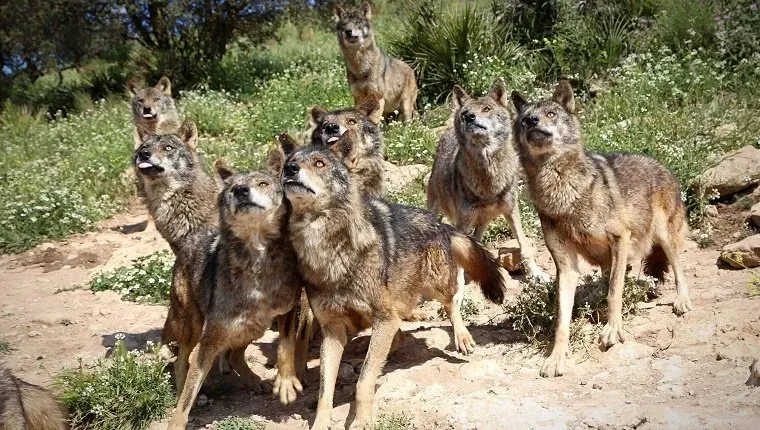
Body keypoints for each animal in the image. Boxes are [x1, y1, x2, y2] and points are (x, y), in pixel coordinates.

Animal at [167, 161, 304, 429]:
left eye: (263, 183)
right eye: (232, 188)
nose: (241, 190)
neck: (257, 264)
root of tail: (192, 239)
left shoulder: (288, 309)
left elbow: (286, 345)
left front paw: (285, 382)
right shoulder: (208, 342)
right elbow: (189, 392)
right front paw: (177, 420)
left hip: (253, 326)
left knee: (234, 355)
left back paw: (255, 381)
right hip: (194, 326)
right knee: (181, 361)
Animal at [279, 130, 507, 430]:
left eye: (319, 163)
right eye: (290, 162)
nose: (290, 169)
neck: (328, 251)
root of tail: (439, 222)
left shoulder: (383, 318)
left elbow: (363, 382)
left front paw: (362, 421)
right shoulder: (333, 330)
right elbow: (324, 391)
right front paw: (320, 423)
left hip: (434, 285)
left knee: (451, 302)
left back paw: (462, 338)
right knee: (400, 334)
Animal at [428, 79, 548, 280]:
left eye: (486, 109)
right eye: (466, 113)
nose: (469, 117)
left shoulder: (511, 210)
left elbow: (524, 245)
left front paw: (537, 274)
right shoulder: (463, 222)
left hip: (484, 221)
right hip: (436, 209)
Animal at [511, 81, 693, 378]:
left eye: (550, 113)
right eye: (525, 119)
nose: (533, 122)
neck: (563, 194)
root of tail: (663, 165)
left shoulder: (620, 238)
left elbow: (614, 292)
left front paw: (613, 330)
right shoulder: (566, 266)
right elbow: (562, 319)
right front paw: (556, 357)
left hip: (664, 237)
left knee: (678, 269)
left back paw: (682, 300)